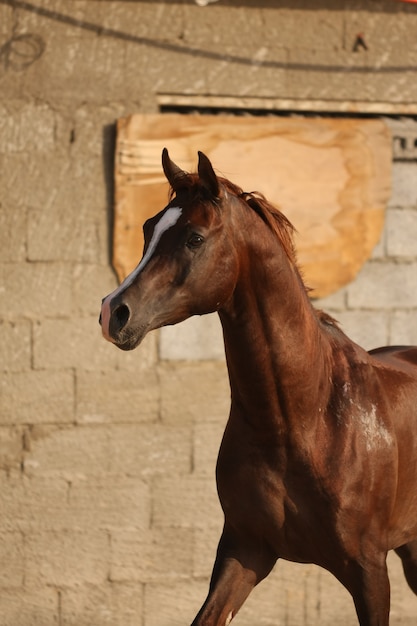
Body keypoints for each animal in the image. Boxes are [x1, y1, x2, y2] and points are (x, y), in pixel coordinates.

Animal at [99, 149, 416, 620]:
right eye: (147, 228)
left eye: (195, 238)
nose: (112, 312)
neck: (306, 420)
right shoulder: (244, 551)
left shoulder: (369, 572)